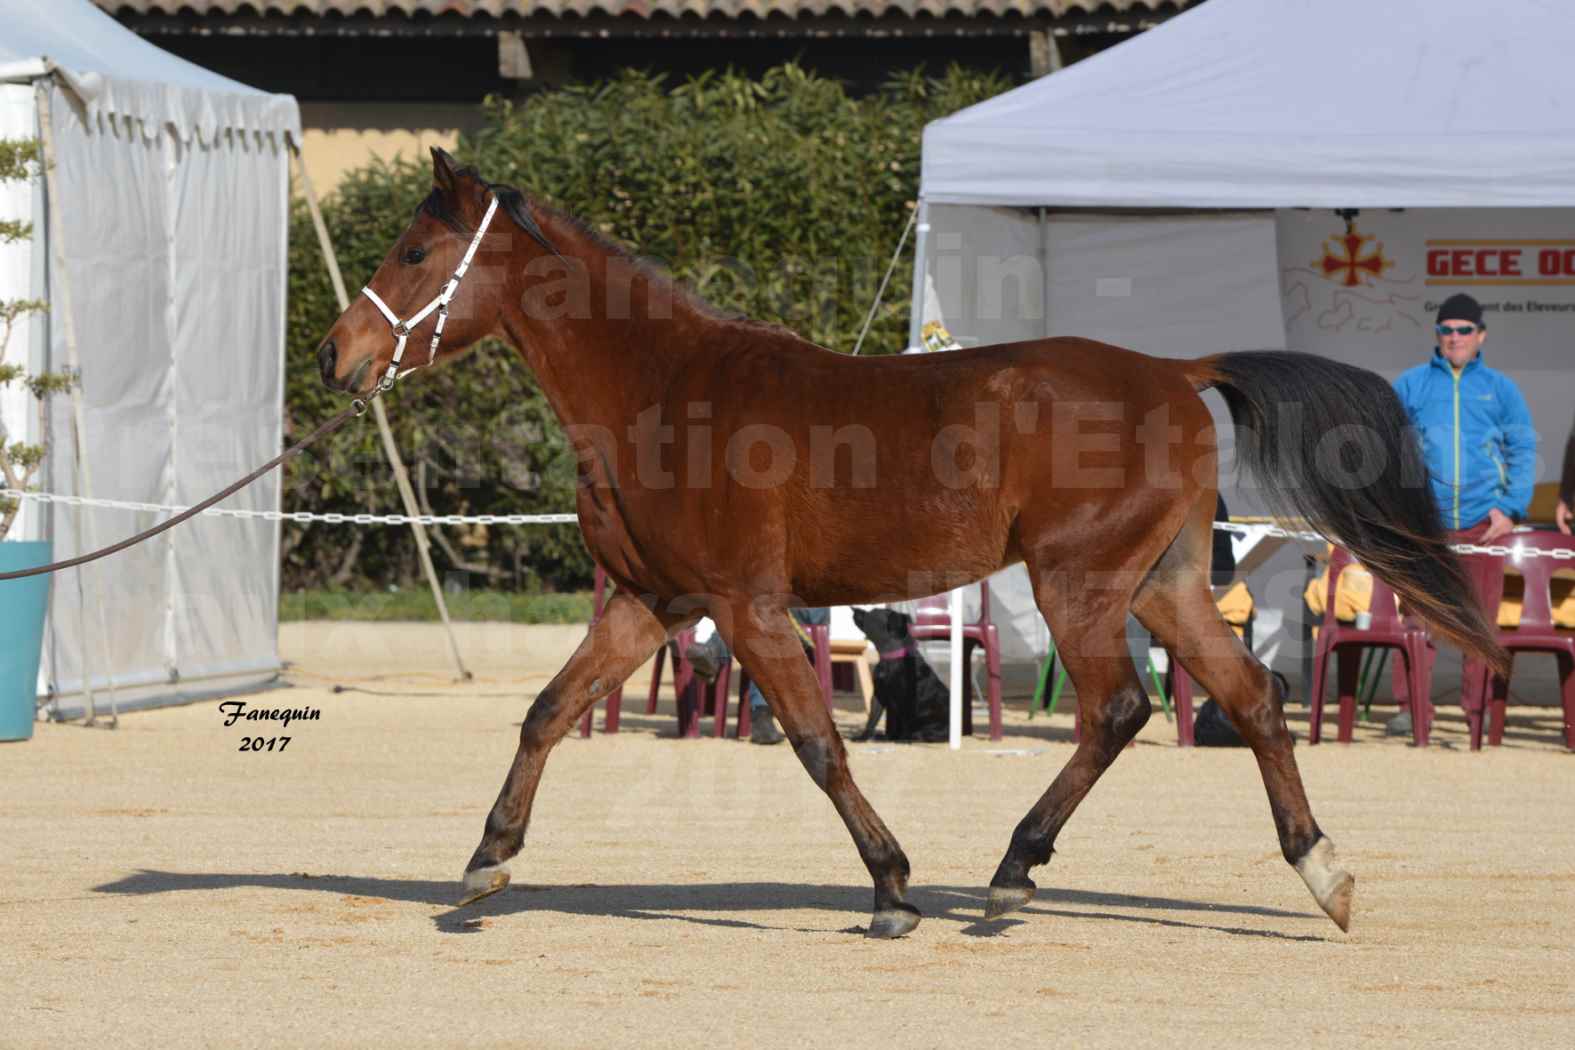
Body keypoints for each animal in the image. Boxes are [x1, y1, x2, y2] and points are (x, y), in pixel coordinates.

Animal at [850, 604, 945, 743]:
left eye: (873, 616)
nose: (854, 609)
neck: (890, 658)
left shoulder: (906, 698)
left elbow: (906, 720)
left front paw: (904, 739)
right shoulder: (879, 694)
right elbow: (872, 719)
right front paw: (863, 737)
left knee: (928, 733)